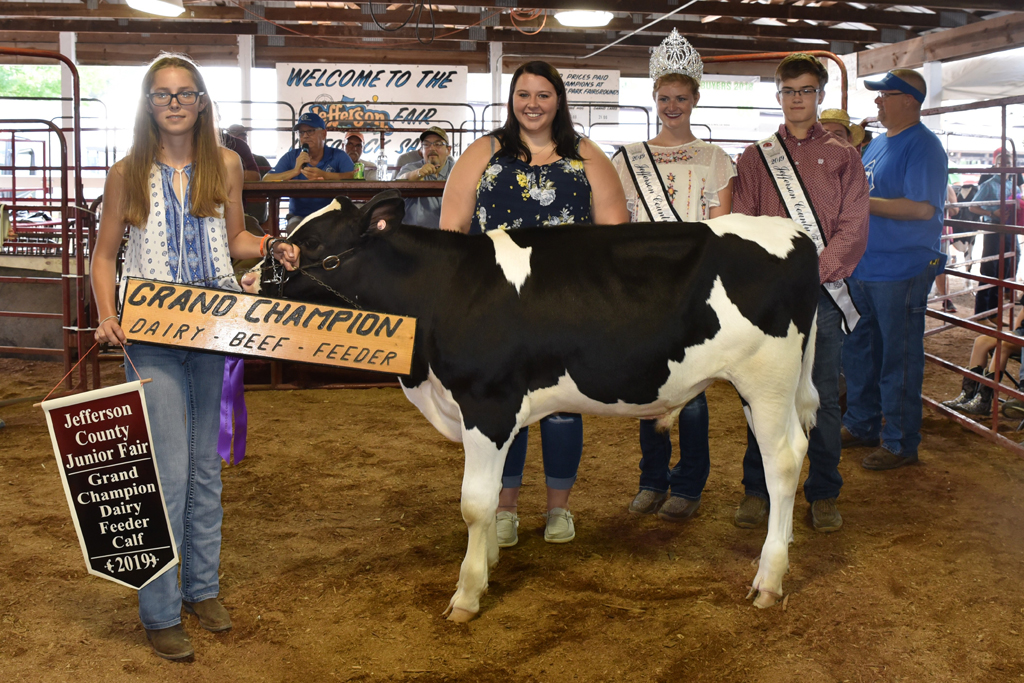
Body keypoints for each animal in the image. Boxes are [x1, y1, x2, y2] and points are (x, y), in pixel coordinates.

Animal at [255, 190, 821, 623]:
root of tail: (793, 231)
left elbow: (474, 502)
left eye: (311, 242)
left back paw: (769, 579)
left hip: (764, 381)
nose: (255, 275)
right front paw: (488, 561)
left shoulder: (487, 403)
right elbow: (495, 495)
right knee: (798, 447)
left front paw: (466, 594)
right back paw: (787, 547)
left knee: (783, 462)